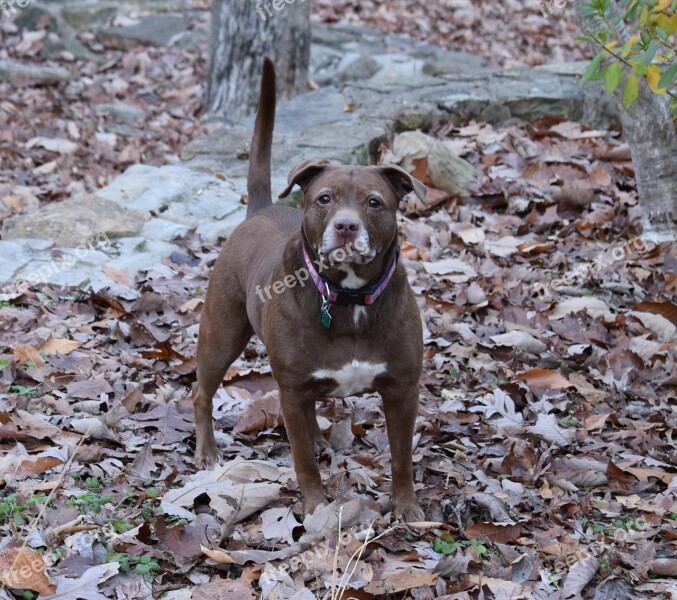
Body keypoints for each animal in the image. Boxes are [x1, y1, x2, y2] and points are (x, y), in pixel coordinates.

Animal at [193, 59, 426, 520]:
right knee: (202, 391)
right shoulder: (292, 389)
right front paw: (317, 506)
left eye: (374, 202)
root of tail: (260, 209)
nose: (346, 226)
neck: (349, 298)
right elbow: (302, 461)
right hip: (221, 334)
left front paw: (407, 507)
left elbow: (402, 457)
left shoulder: (402, 389)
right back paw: (207, 451)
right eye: (325, 198)